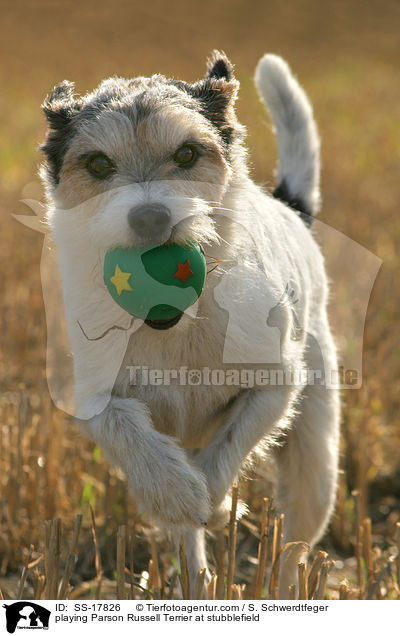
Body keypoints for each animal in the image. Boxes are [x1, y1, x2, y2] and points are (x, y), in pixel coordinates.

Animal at [39, 52, 340, 600]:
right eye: (98, 165)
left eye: (186, 153)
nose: (150, 217)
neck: (174, 325)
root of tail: (291, 210)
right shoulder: (93, 395)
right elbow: (124, 428)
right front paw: (177, 493)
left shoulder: (275, 382)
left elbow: (233, 444)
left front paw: (215, 502)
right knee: (189, 543)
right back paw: (198, 584)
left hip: (316, 462)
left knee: (294, 545)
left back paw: (283, 589)